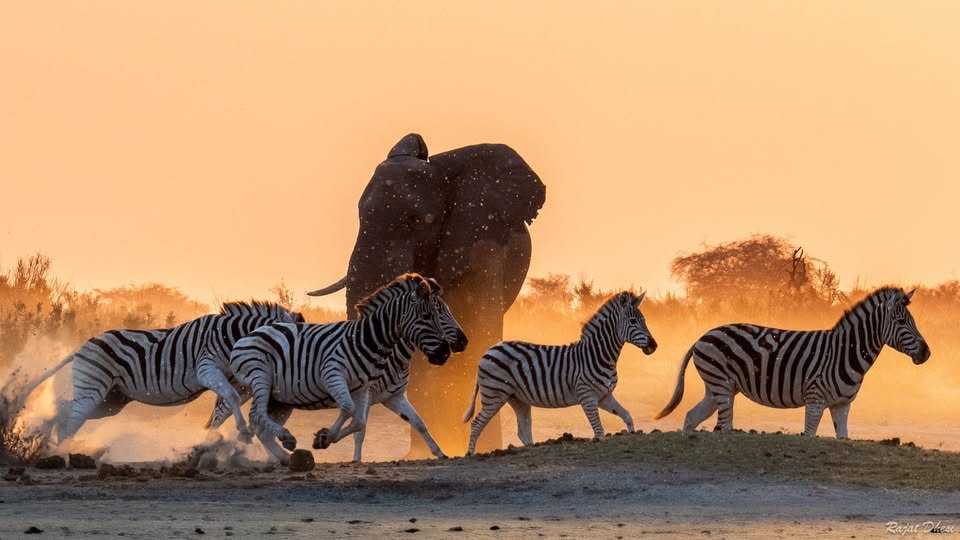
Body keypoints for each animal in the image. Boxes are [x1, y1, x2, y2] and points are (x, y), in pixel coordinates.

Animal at [19, 301, 303, 443]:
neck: (228, 336)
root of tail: (81, 346)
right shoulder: (206, 368)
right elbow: (231, 397)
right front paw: (243, 432)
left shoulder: (232, 375)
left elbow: (226, 403)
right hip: (94, 388)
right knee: (73, 415)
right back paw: (61, 450)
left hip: (111, 400)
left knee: (66, 409)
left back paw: (48, 437)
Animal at [205, 282, 467, 461]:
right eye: (431, 315)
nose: (448, 351)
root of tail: (252, 332)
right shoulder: (339, 379)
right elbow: (353, 418)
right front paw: (338, 447)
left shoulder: (389, 396)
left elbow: (411, 422)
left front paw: (439, 452)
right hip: (257, 382)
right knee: (232, 415)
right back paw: (212, 447)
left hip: (278, 398)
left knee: (256, 422)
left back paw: (279, 455)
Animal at [463, 291, 657, 456]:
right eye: (632, 321)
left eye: (644, 320)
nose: (654, 345)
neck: (598, 355)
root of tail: (488, 350)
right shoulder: (587, 396)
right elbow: (599, 431)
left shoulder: (604, 396)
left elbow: (627, 416)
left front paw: (632, 433)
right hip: (494, 395)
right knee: (476, 423)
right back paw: (470, 454)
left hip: (517, 398)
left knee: (523, 430)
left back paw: (532, 449)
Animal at [654, 287, 931, 437]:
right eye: (902, 322)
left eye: (913, 321)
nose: (927, 353)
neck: (845, 352)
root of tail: (702, 336)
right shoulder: (815, 400)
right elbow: (809, 434)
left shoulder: (842, 406)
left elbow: (843, 437)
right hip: (721, 385)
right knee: (723, 425)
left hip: (717, 388)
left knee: (691, 416)